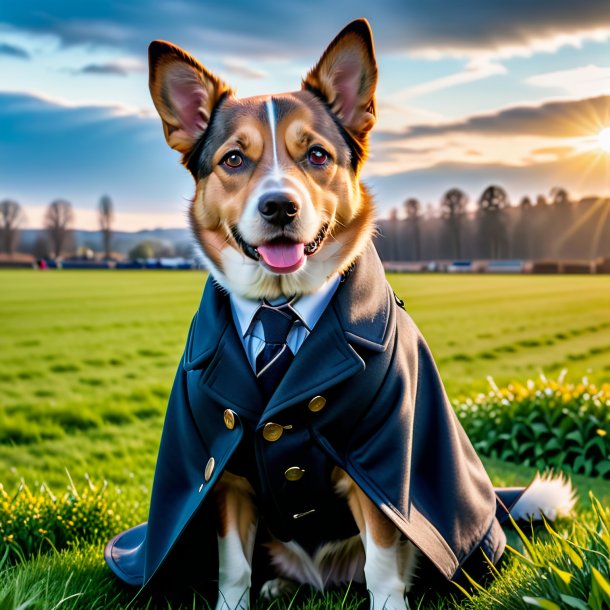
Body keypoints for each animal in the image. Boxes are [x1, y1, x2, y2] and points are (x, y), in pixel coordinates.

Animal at [104, 16, 576, 604]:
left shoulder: (375, 470)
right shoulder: (225, 473)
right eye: (234, 159)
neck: (279, 303)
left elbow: (382, 569)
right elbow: (232, 568)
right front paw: (236, 601)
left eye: (317, 155)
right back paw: (279, 586)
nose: (280, 206)